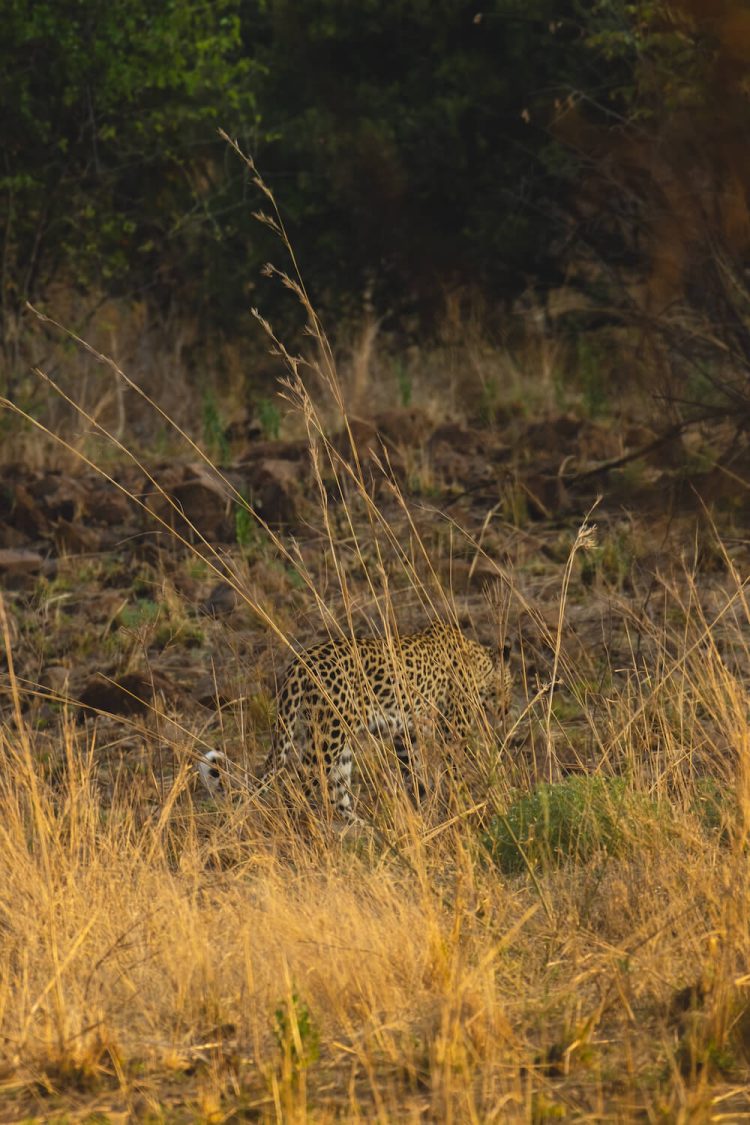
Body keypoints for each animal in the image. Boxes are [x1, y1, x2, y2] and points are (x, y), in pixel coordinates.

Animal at [196, 621, 512, 823]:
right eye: (510, 684)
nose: (508, 709)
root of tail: (299, 664)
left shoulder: (406, 733)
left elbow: (413, 771)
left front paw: (421, 805)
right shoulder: (454, 726)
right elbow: (457, 766)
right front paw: (462, 804)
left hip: (332, 735)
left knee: (337, 791)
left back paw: (361, 829)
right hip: (329, 737)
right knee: (303, 783)